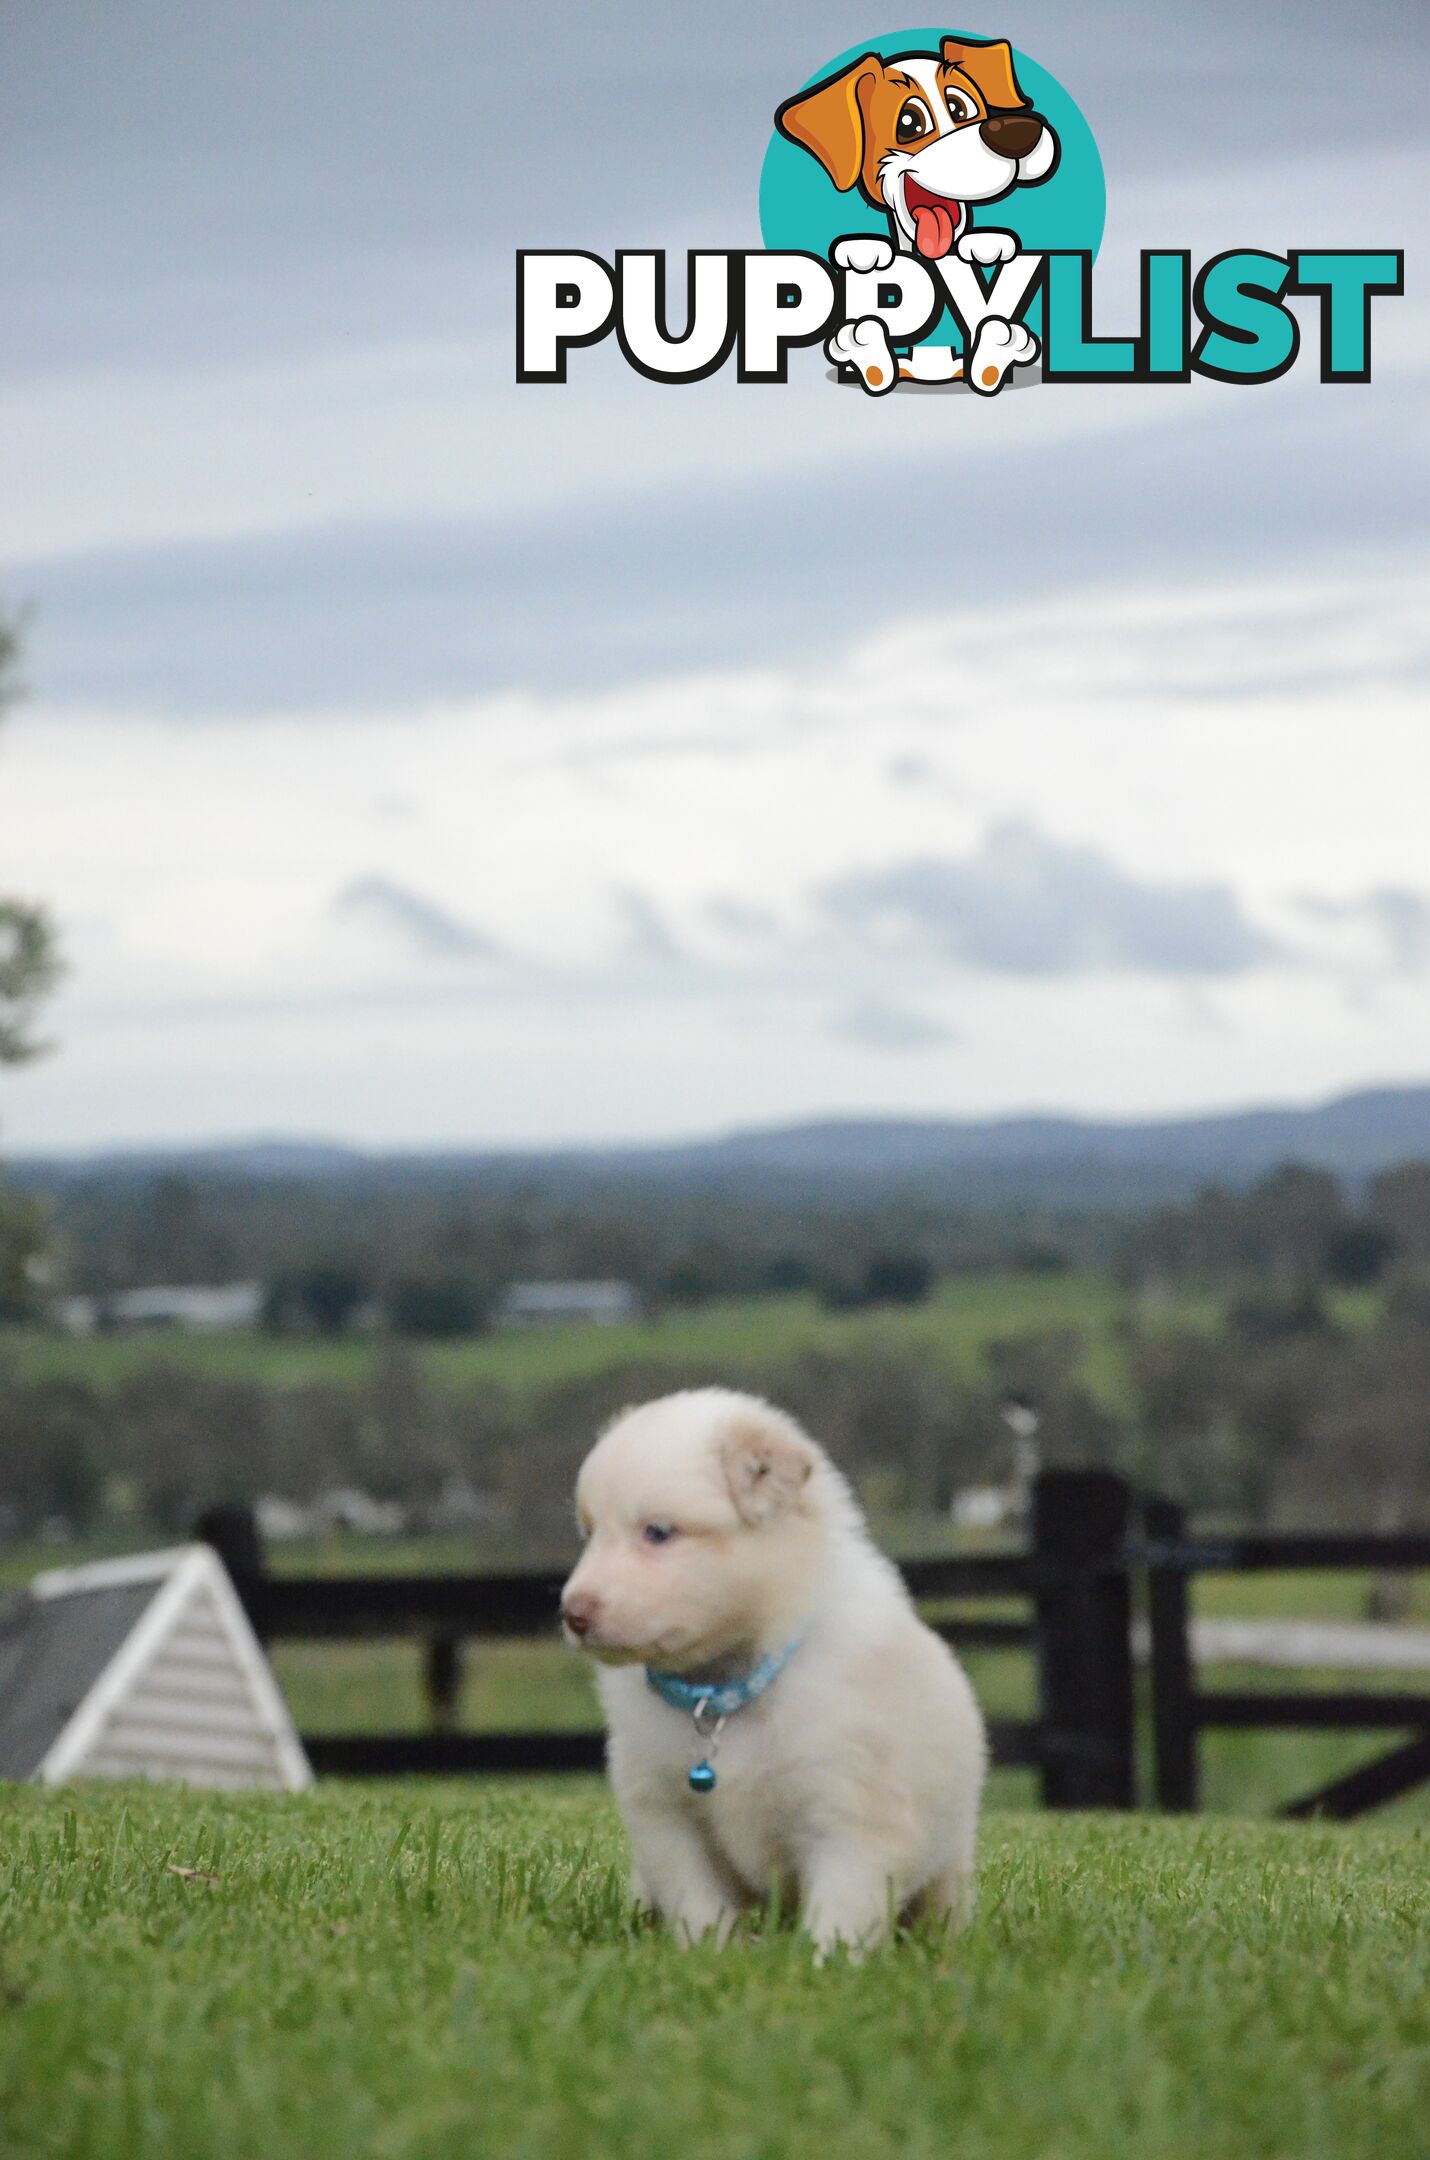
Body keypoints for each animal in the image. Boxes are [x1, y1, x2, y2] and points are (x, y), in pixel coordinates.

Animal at [565, 1391, 993, 1952]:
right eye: (590, 1533)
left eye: (658, 1532)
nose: (573, 1613)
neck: (722, 1692)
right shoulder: (668, 1821)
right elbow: (700, 1908)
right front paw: (710, 1956)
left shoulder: (850, 1822)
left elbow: (839, 1915)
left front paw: (822, 1962)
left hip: (948, 1859)